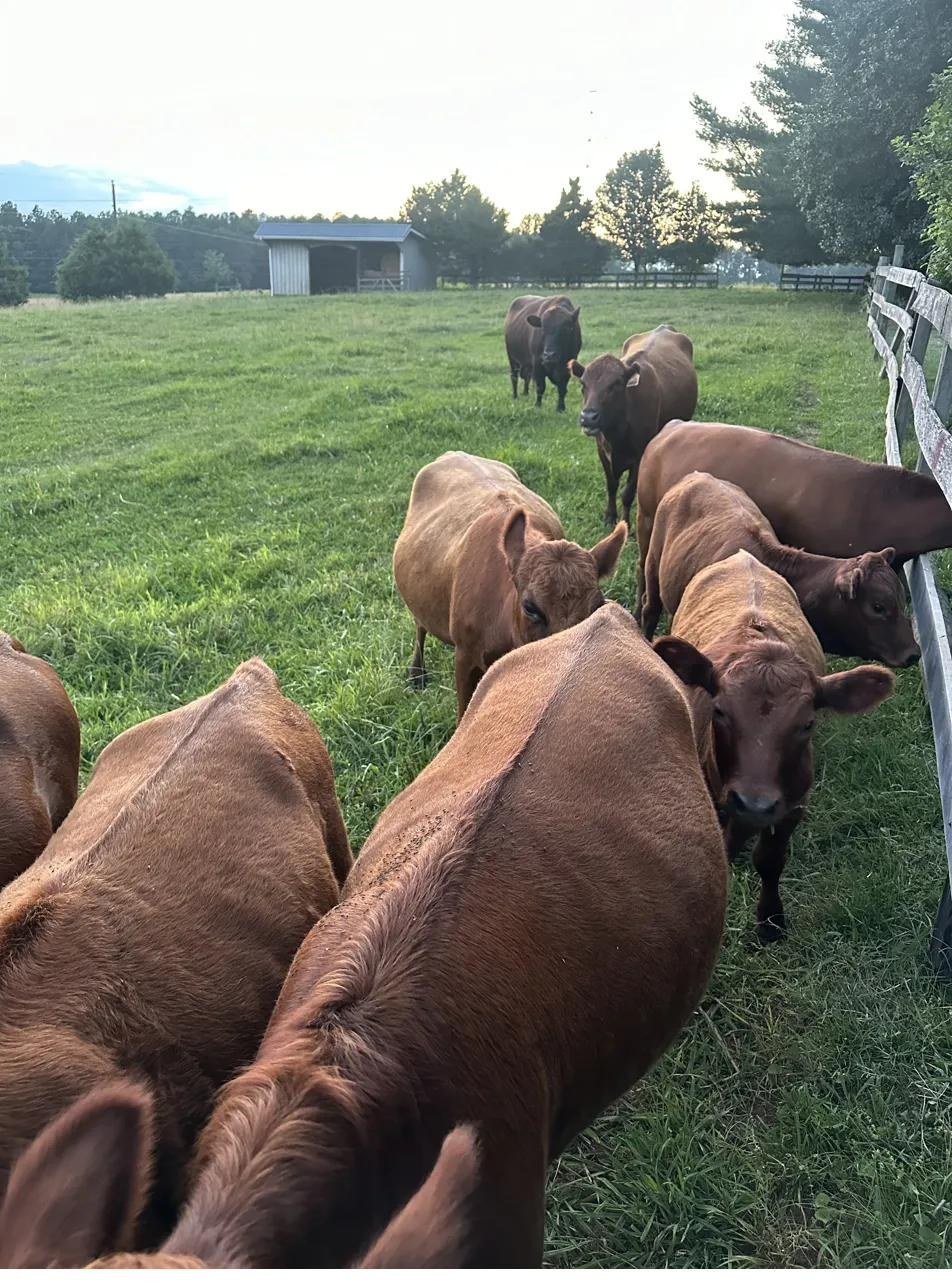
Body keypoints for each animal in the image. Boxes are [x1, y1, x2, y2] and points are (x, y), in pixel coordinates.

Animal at [393, 451, 627, 720]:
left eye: (597, 606)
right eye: (531, 608)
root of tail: (454, 453)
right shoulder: (464, 655)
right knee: (420, 625)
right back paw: (417, 673)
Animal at [568, 325, 697, 528]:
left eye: (616, 384)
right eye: (583, 384)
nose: (588, 417)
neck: (617, 434)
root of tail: (664, 327)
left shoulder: (639, 457)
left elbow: (627, 494)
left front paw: (625, 522)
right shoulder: (602, 452)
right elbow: (612, 486)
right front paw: (610, 516)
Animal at [639, 472, 919, 668]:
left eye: (902, 600)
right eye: (878, 607)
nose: (914, 653)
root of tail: (698, 475)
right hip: (652, 562)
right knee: (649, 608)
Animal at [669, 551, 894, 943]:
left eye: (807, 724)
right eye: (719, 711)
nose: (754, 803)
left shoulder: (793, 805)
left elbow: (770, 861)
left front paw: (771, 921)